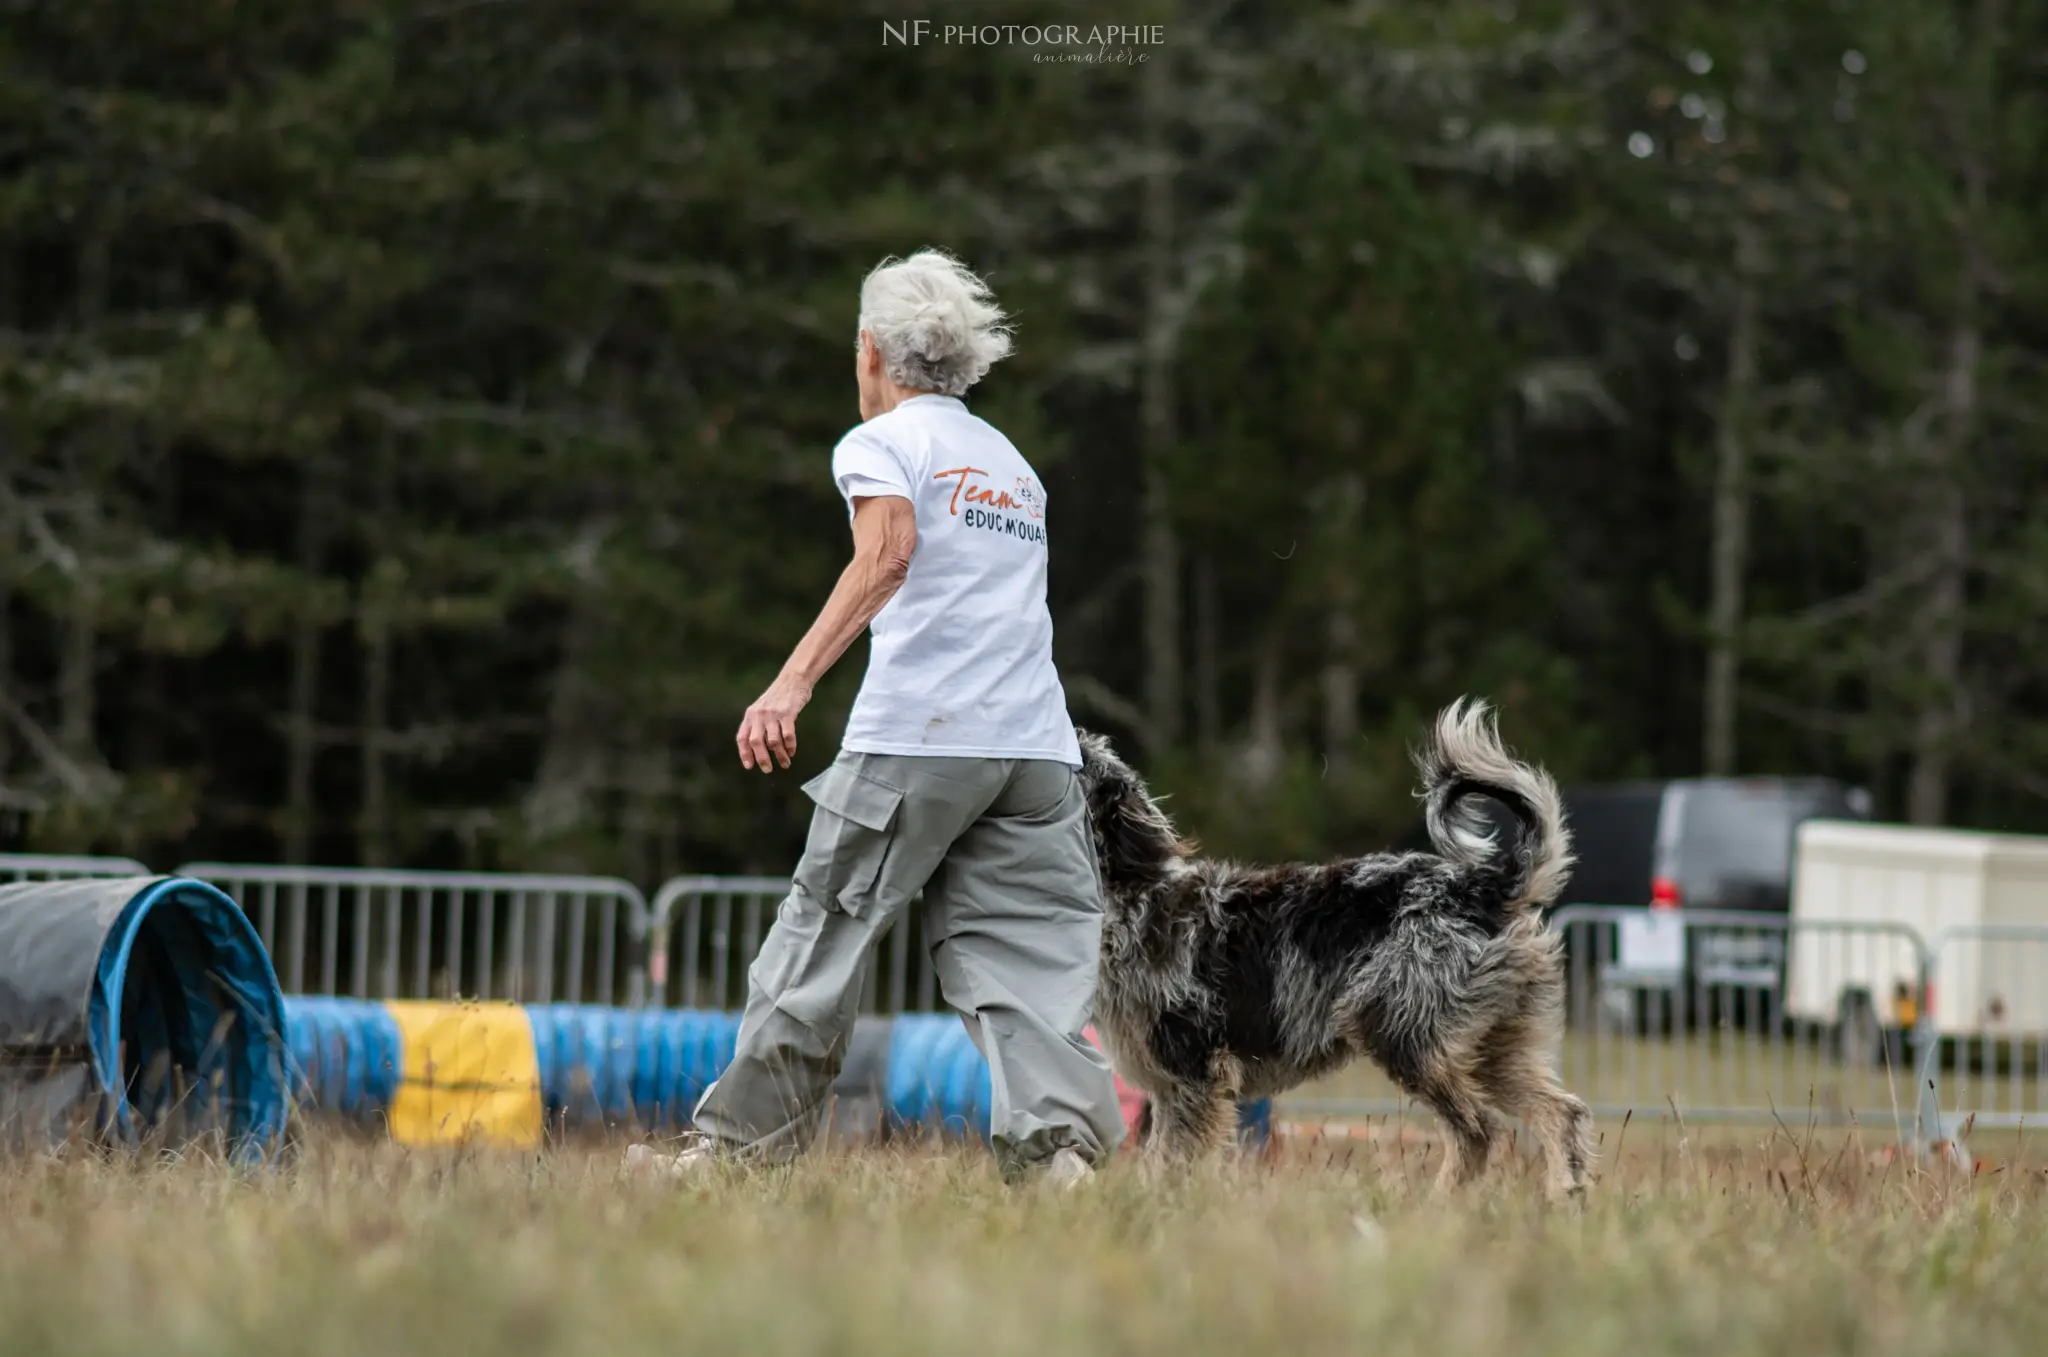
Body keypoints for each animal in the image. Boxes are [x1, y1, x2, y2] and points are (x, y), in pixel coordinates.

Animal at [1081, 699, 1589, 1203]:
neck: (1134, 897)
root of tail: (1487, 888)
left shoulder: (1196, 1075)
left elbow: (1176, 1162)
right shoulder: (1170, 1089)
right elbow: (1159, 1159)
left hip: (1402, 1033)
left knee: (1478, 1129)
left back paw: (1437, 1206)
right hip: (1492, 1046)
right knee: (1561, 1113)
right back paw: (1566, 1199)